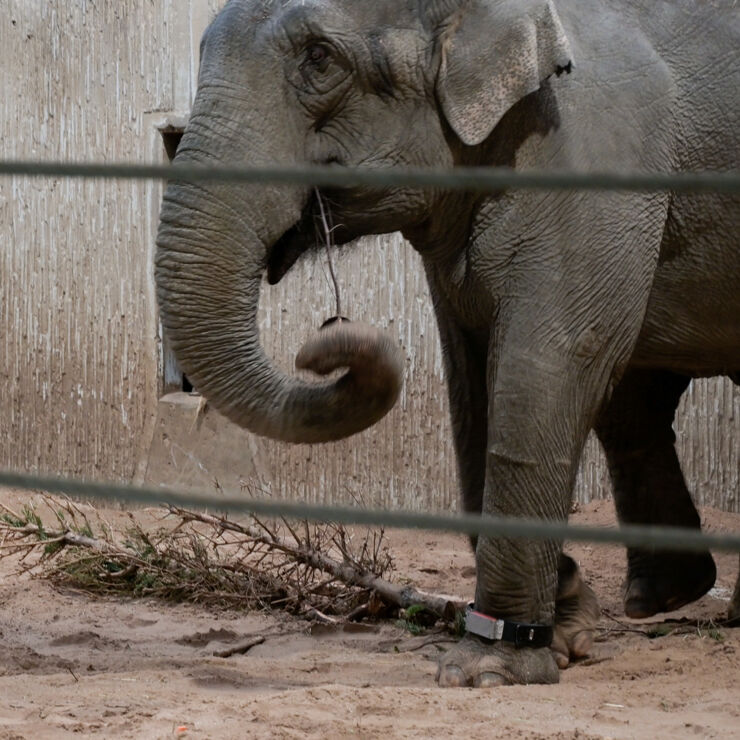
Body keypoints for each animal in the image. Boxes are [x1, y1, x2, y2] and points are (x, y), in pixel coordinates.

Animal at [156, 0, 740, 688]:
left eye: (319, 59)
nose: (322, 343)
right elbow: (472, 382)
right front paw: (566, 621)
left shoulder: (593, 159)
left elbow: (552, 361)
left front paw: (491, 666)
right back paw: (668, 597)